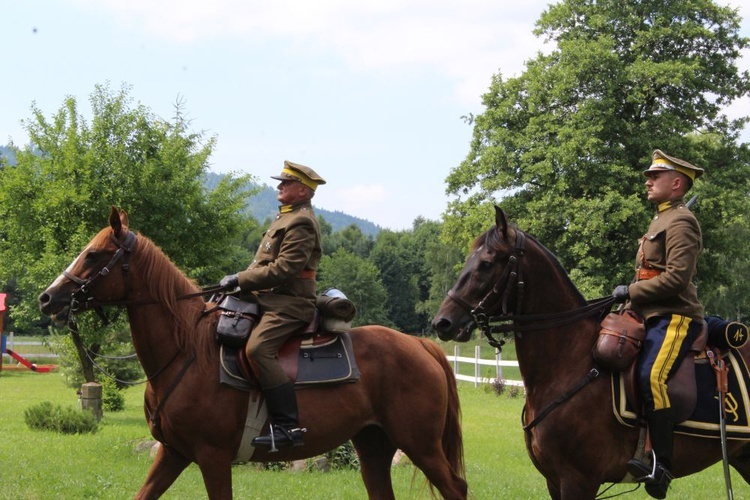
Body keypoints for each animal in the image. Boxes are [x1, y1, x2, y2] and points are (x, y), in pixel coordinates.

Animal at [39, 205, 470, 498]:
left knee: (456, 488)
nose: (47, 298)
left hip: (421, 445)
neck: (186, 352)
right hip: (374, 444)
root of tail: (420, 344)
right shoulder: (173, 453)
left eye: (93, 254)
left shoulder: (212, 457)